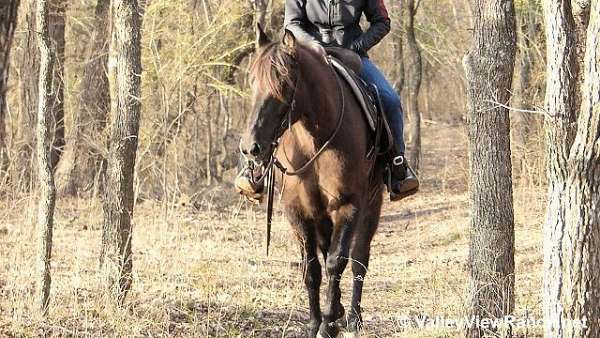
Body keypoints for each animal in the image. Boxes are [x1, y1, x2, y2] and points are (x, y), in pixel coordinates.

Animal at [239, 26, 384, 338]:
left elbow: (336, 261)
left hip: (372, 199)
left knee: (359, 256)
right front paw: (316, 322)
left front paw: (328, 323)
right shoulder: (298, 211)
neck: (315, 138)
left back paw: (353, 317)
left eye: (283, 83)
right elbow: (311, 268)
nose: (251, 148)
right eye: (252, 80)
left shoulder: (348, 205)